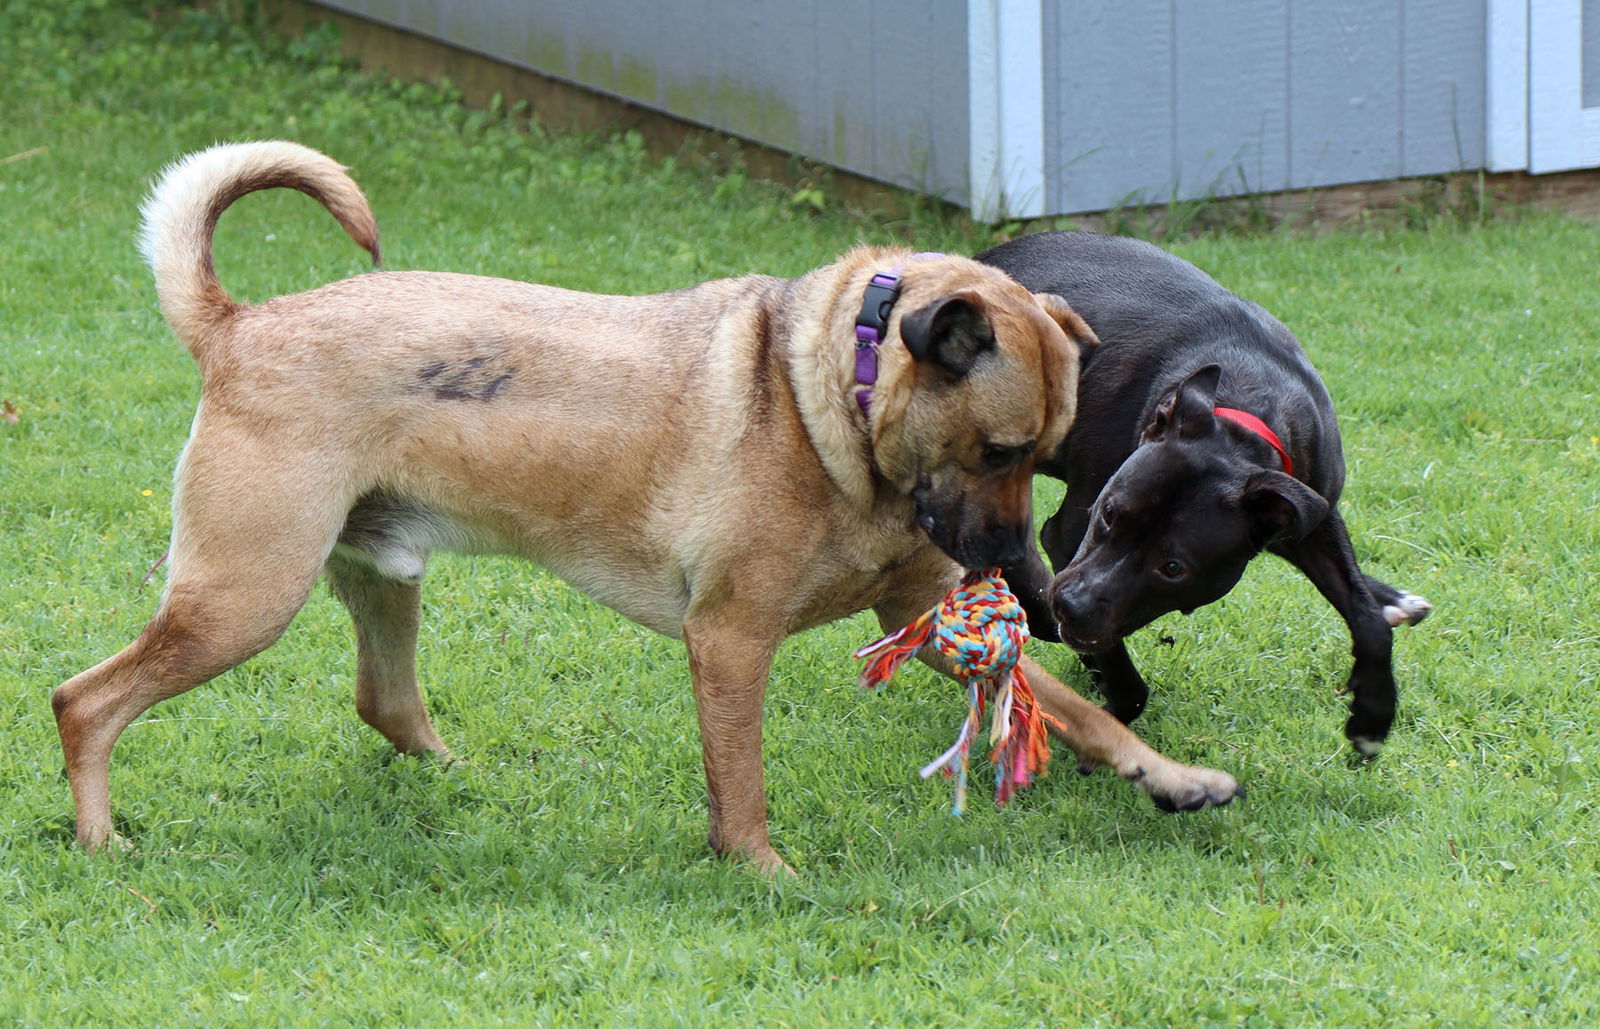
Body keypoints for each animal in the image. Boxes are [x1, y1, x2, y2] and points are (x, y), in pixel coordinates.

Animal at [53, 143, 1235, 870]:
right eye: (997, 449)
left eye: (1045, 458)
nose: (1028, 582)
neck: (830, 402)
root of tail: (235, 325)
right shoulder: (731, 638)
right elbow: (742, 783)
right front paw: (761, 873)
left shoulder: (920, 619)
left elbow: (1083, 715)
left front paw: (1172, 779)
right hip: (242, 598)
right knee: (84, 701)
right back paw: (101, 841)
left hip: (379, 578)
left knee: (384, 704)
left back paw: (467, 784)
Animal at [979, 232, 1433, 755]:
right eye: (1109, 514)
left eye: (1174, 568)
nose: (1069, 605)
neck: (1243, 415)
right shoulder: (1072, 536)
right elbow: (1122, 674)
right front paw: (1106, 715)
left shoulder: (1310, 509)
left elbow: (1363, 612)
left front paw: (1373, 714)